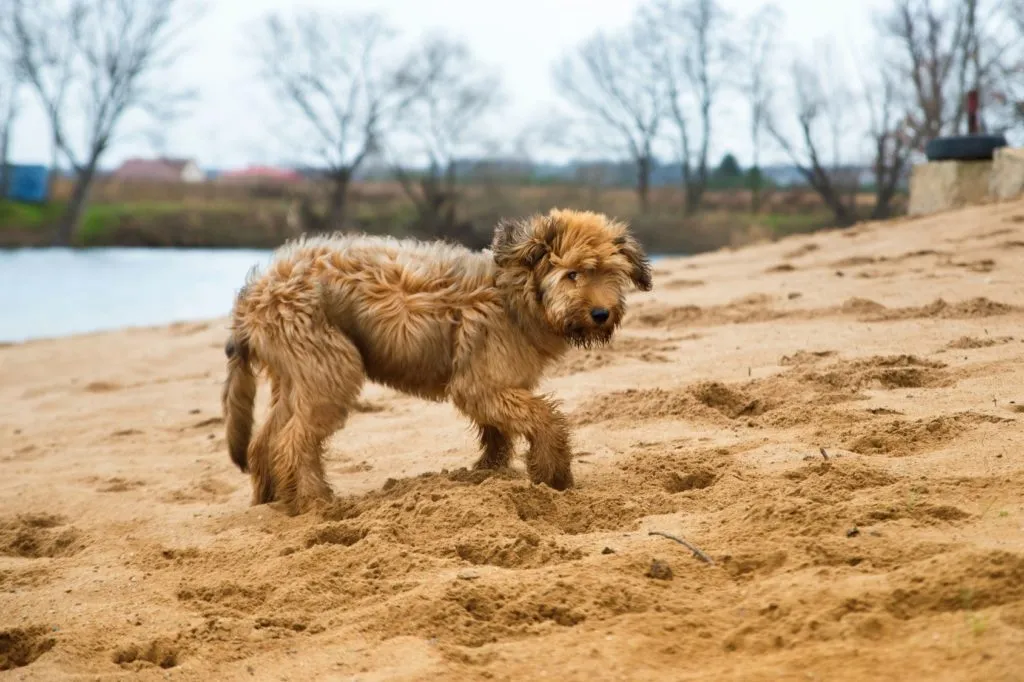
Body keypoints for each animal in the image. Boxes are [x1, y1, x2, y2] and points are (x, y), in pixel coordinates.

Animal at [222, 205, 655, 509]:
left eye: (611, 273)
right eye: (572, 274)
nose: (601, 314)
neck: (515, 293)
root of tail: (253, 295)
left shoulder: (498, 383)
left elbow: (498, 430)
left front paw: (489, 470)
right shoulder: (481, 383)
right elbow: (545, 418)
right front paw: (554, 472)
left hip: (299, 373)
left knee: (267, 440)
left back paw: (272, 497)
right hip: (330, 367)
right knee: (292, 441)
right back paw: (315, 501)